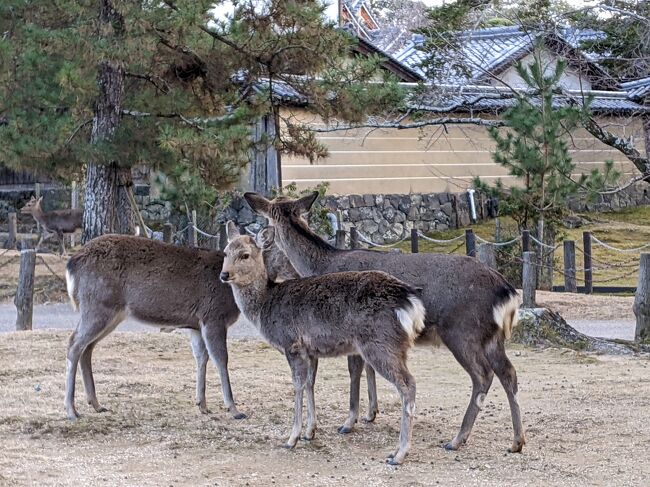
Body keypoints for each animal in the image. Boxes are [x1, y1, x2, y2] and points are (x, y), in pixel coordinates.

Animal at [60, 234, 296, 422]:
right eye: (236, 254)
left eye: (245, 254)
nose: (225, 275)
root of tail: (71, 264)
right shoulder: (213, 316)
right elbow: (221, 359)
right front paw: (234, 409)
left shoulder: (195, 324)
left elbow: (201, 357)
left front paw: (202, 405)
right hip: (97, 305)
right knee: (73, 344)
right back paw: (71, 410)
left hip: (110, 313)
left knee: (87, 348)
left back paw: (96, 404)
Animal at [220, 222, 426, 466]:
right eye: (225, 252)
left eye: (245, 255)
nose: (224, 274)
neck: (265, 307)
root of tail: (411, 303)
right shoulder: (310, 351)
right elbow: (310, 383)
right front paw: (310, 432)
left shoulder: (292, 344)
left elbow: (298, 385)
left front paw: (292, 438)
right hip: (398, 347)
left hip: (380, 344)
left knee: (408, 384)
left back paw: (399, 453)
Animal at [246, 192, 524, 458]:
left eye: (266, 223)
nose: (260, 239)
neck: (320, 264)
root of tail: (507, 291)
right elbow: (368, 370)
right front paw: (371, 413)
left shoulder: (350, 333)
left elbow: (354, 371)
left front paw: (349, 421)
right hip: (492, 337)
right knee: (508, 373)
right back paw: (516, 442)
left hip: (462, 331)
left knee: (482, 375)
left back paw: (456, 439)